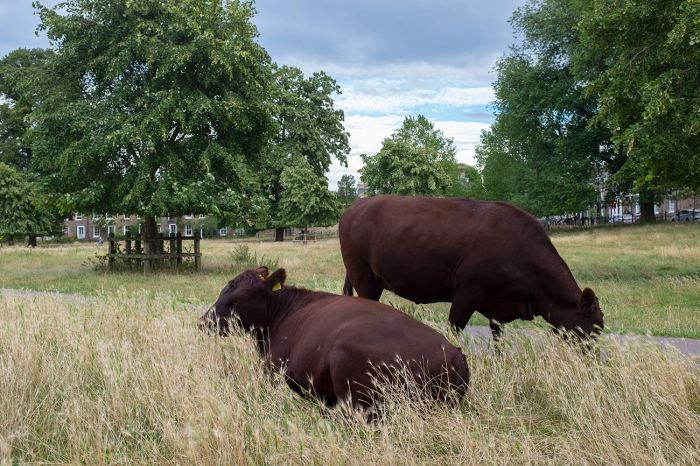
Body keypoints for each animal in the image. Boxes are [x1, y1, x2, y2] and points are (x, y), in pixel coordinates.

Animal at [198, 266, 470, 410]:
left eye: (237, 301)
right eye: (223, 291)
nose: (203, 322)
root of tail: (454, 355)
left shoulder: (273, 370)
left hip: (348, 364)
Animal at [339, 195, 604, 339]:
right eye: (590, 329)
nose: (590, 360)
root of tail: (356, 206)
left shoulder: (499, 306)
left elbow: (498, 337)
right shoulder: (467, 293)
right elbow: (454, 330)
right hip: (363, 277)